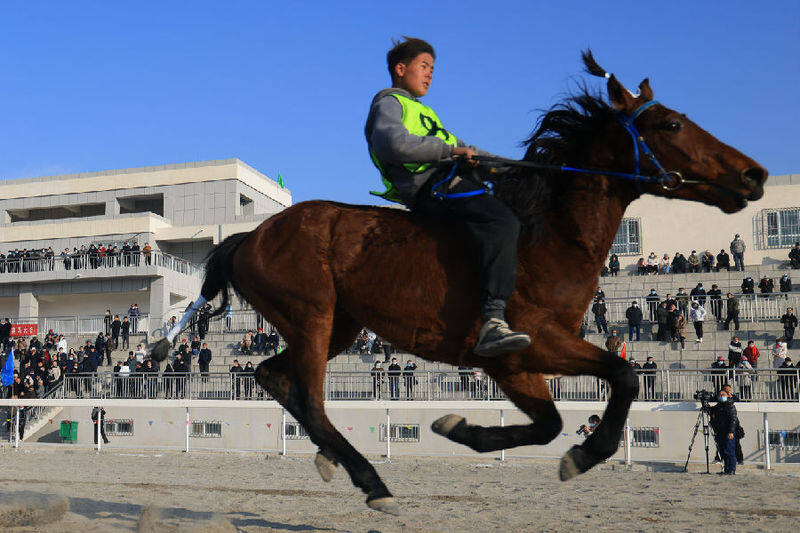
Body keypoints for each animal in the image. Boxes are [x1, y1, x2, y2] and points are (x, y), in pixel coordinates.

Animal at [150, 52, 768, 512]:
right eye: (671, 124)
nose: (754, 173)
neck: (547, 233)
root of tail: (250, 235)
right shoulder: (527, 346)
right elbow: (619, 379)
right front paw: (581, 453)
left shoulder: (524, 360)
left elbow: (554, 420)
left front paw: (464, 428)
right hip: (312, 317)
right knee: (309, 397)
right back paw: (370, 480)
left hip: (337, 327)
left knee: (272, 377)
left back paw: (334, 458)